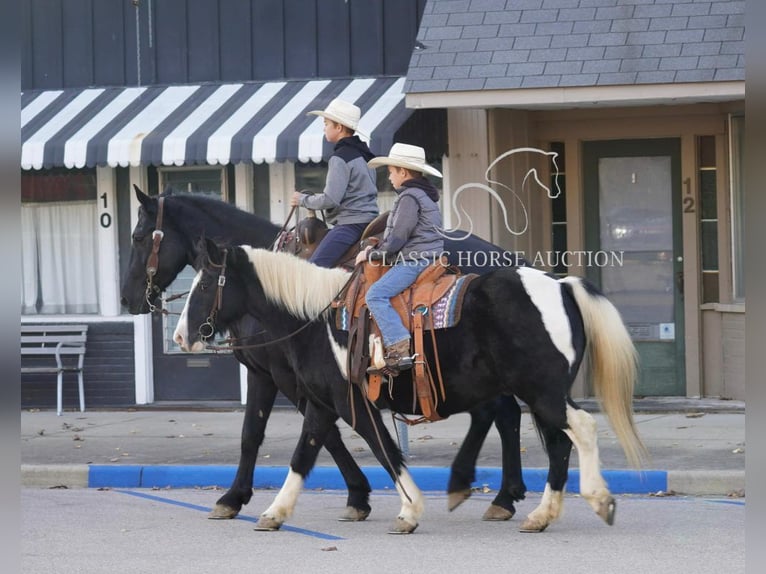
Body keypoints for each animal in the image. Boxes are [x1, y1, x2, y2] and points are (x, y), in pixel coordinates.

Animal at [123, 190, 536, 528]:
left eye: (138, 237)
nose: (128, 298)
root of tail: (504, 256)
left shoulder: (280, 373)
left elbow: (306, 433)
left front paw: (355, 495)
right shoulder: (276, 374)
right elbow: (267, 432)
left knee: (503, 413)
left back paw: (501, 496)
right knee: (502, 414)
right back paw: (502, 495)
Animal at [174, 243, 648, 536]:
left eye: (205, 284)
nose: (180, 336)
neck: (317, 319)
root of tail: (561, 285)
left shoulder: (349, 402)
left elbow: (382, 449)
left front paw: (408, 510)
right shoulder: (324, 403)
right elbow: (306, 453)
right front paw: (274, 511)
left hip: (542, 391)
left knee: (579, 429)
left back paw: (596, 499)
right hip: (538, 394)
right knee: (555, 441)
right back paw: (537, 513)